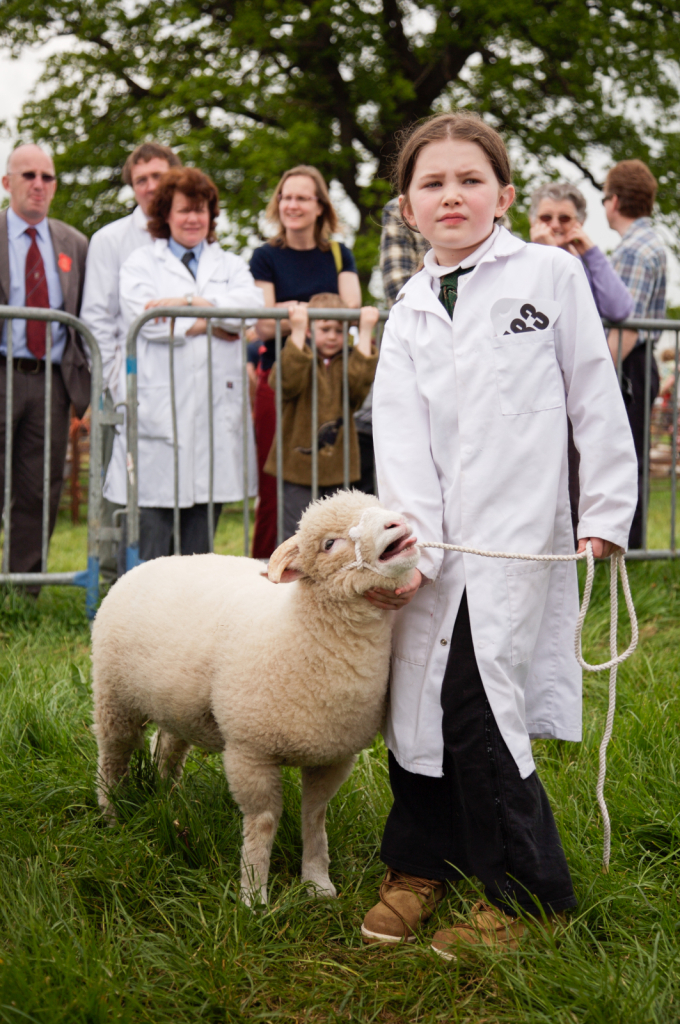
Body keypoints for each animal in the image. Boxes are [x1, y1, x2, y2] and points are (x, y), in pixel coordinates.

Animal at [90, 491, 419, 901]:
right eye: (329, 544)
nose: (396, 523)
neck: (297, 630)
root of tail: (149, 562)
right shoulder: (250, 751)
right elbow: (263, 822)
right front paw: (253, 895)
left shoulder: (334, 754)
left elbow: (315, 816)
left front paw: (317, 883)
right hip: (114, 698)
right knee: (112, 755)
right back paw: (111, 815)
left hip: (181, 706)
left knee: (167, 745)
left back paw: (169, 795)